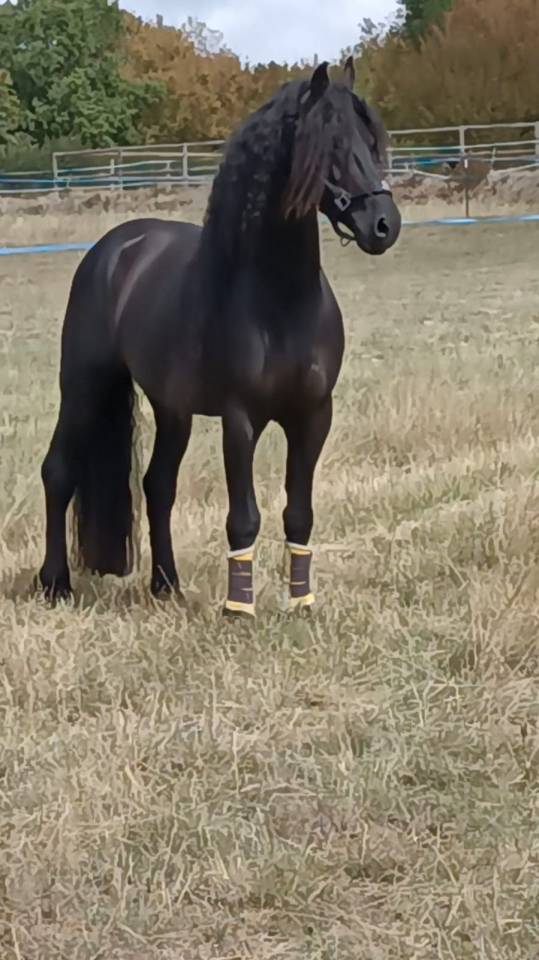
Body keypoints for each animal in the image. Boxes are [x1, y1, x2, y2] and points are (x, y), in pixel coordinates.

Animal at [38, 57, 401, 617]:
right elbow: (243, 516)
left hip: (171, 408)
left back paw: (167, 583)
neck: (281, 301)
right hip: (83, 386)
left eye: (370, 137)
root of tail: (113, 249)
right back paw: (55, 583)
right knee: (58, 471)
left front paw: (301, 602)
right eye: (330, 145)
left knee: (157, 485)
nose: (384, 225)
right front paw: (239, 609)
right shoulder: (240, 417)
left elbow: (299, 512)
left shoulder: (314, 415)